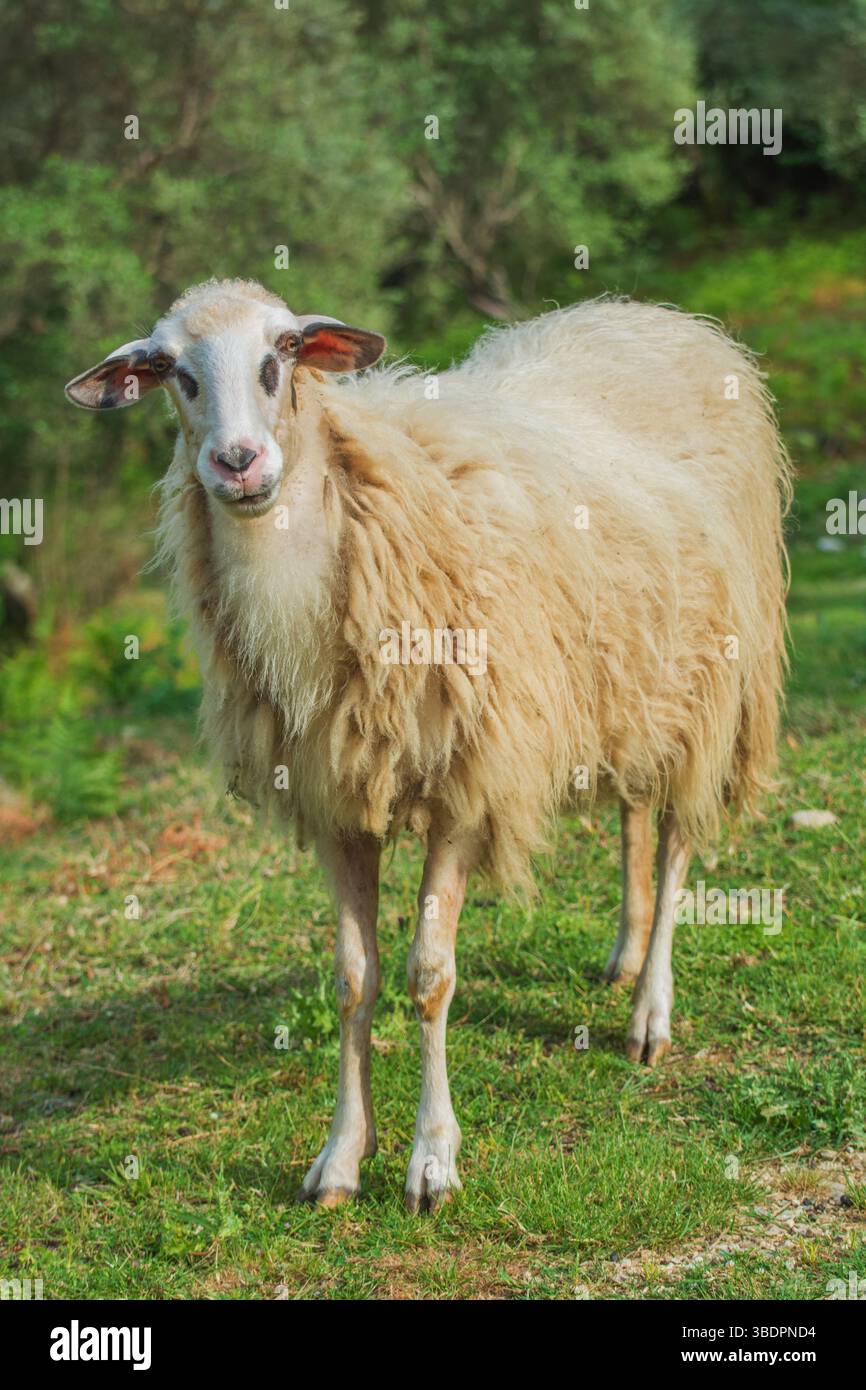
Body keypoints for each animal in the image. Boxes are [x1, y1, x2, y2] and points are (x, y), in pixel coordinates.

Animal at [65, 279, 791, 1211]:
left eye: (280, 357)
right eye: (173, 373)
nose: (238, 465)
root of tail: (654, 314)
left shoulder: (465, 784)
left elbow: (429, 976)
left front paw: (432, 1161)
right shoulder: (335, 800)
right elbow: (353, 980)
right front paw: (341, 1157)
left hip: (713, 684)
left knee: (673, 843)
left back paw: (649, 1013)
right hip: (633, 679)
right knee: (634, 808)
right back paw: (624, 958)